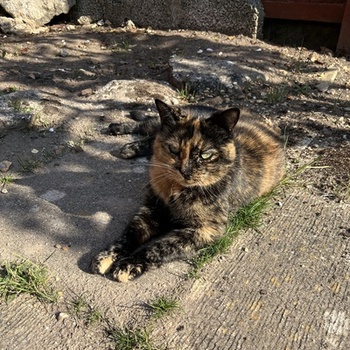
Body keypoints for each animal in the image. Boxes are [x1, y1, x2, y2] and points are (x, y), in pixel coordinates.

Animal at [91, 98, 284, 282]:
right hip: (167, 119)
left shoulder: (206, 229)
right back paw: (118, 130)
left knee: (151, 135)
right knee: (149, 126)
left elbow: (159, 247)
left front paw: (129, 265)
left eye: (205, 154)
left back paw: (128, 146)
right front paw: (105, 257)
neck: (176, 191)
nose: (185, 171)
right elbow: (128, 235)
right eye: (173, 149)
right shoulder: (150, 210)